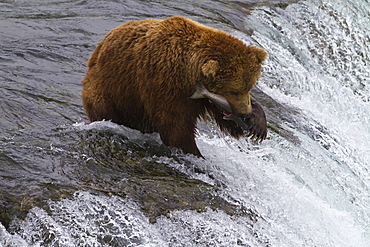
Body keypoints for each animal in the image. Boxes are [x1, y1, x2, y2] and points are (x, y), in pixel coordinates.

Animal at [81, 16, 266, 157]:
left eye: (249, 87)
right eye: (233, 91)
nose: (245, 113)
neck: (189, 73)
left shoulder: (203, 97)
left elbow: (223, 117)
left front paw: (257, 125)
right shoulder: (165, 82)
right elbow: (175, 125)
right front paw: (194, 153)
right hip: (108, 90)